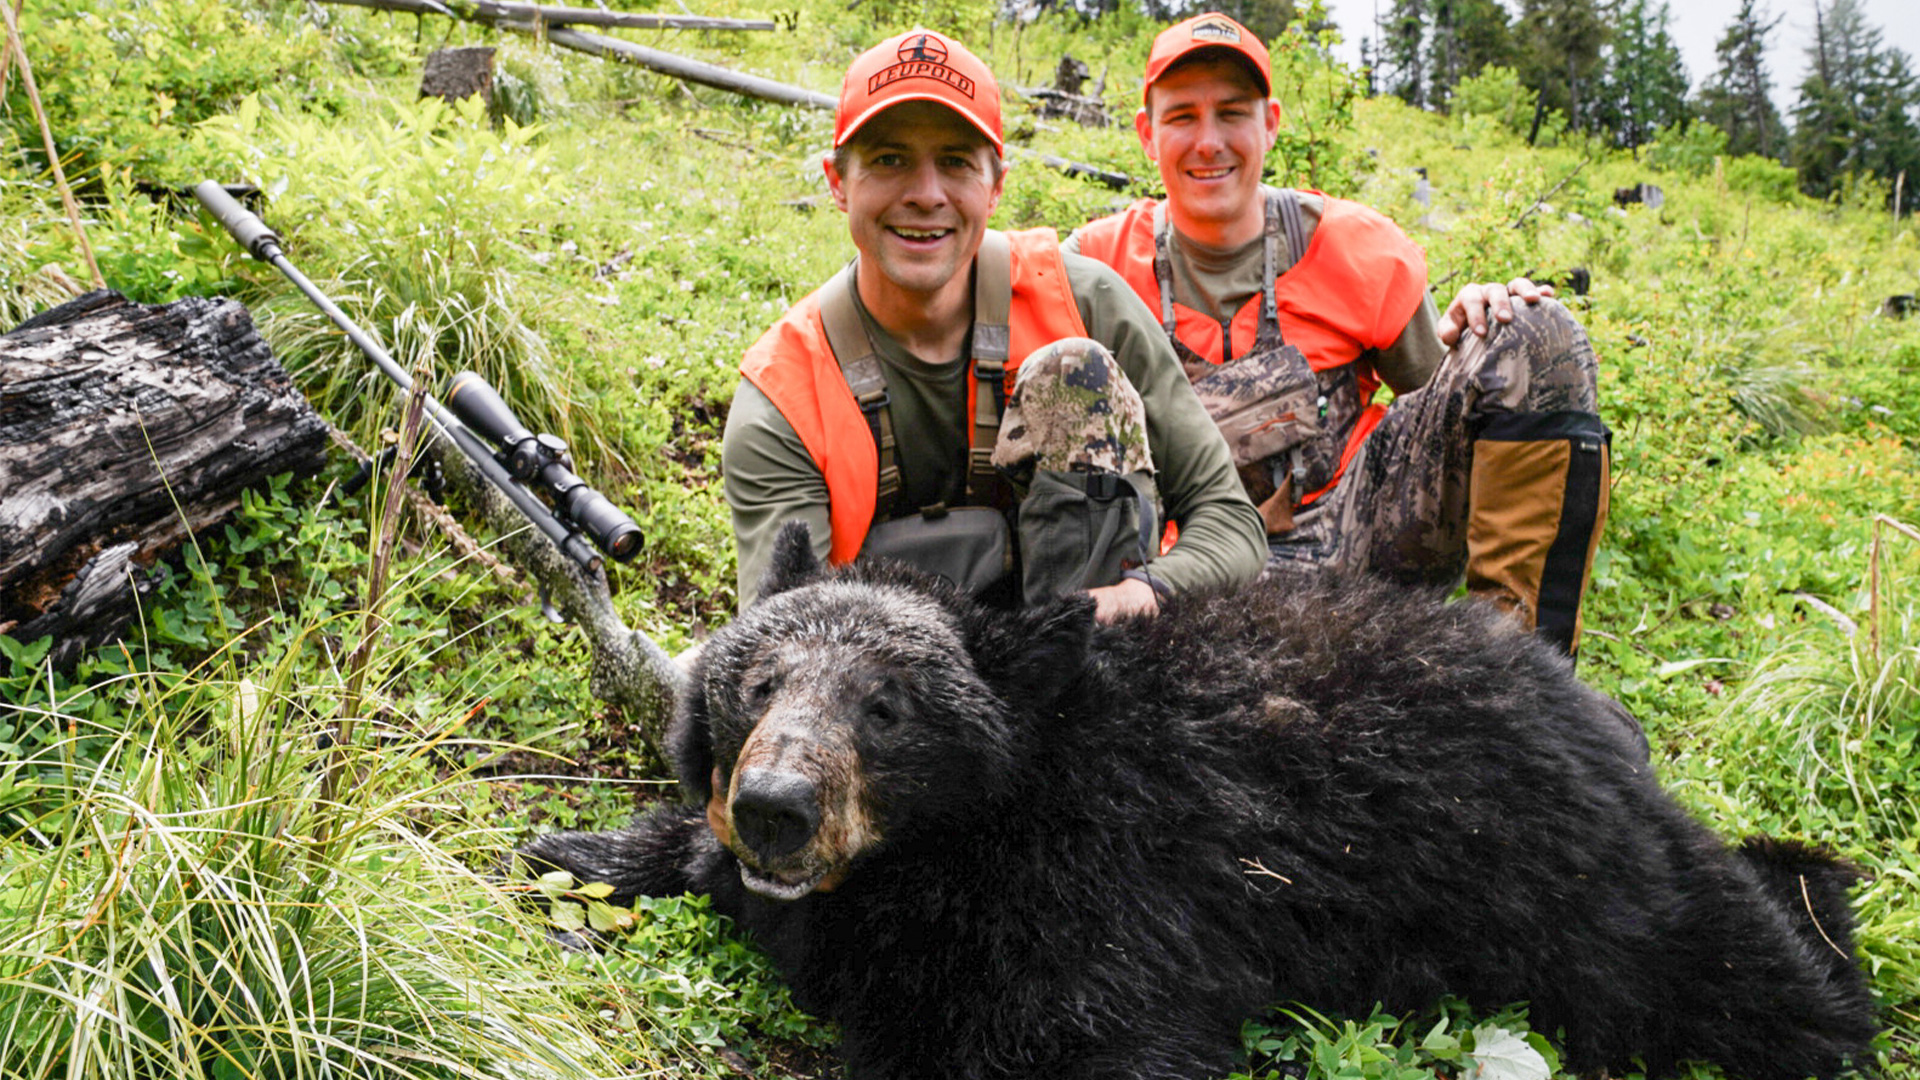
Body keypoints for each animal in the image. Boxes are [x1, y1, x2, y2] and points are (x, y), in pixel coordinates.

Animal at [519, 523, 1877, 1080]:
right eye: (758, 682)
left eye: (888, 709)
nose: (777, 808)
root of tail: (1603, 718)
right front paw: (575, 845)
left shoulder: (1102, 904)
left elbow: (1094, 1044)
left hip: (1582, 888)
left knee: (1751, 975)